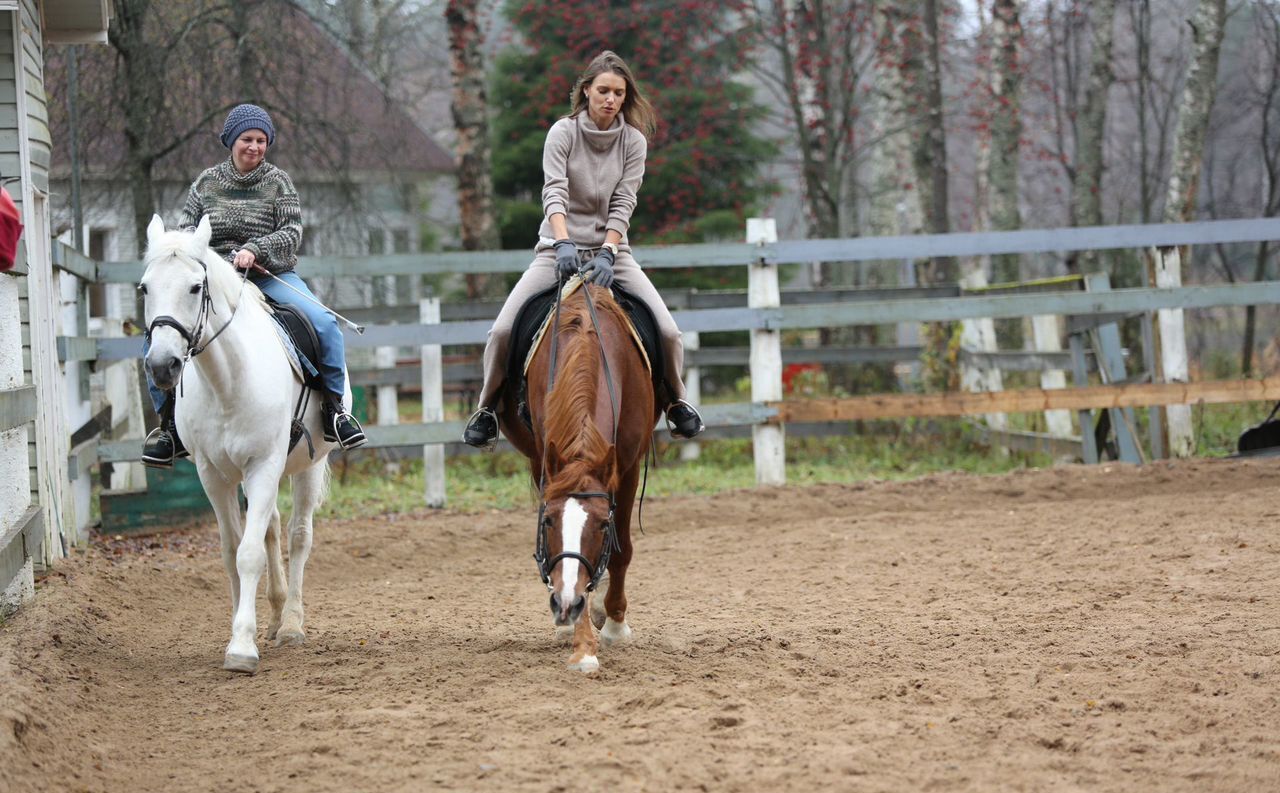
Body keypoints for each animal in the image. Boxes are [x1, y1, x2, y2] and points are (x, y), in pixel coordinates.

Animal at [141, 213, 345, 670]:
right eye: (145, 287)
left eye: (195, 287)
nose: (162, 365)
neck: (228, 381)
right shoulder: (213, 475)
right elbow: (231, 551)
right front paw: (240, 628)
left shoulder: (264, 464)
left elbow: (249, 553)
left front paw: (242, 649)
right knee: (270, 528)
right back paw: (274, 616)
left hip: (306, 467)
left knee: (298, 535)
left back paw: (291, 625)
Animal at [499, 281, 660, 670]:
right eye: (548, 522)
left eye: (601, 525)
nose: (566, 604)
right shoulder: (544, 460)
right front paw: (583, 644)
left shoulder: (627, 467)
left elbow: (620, 549)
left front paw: (614, 624)